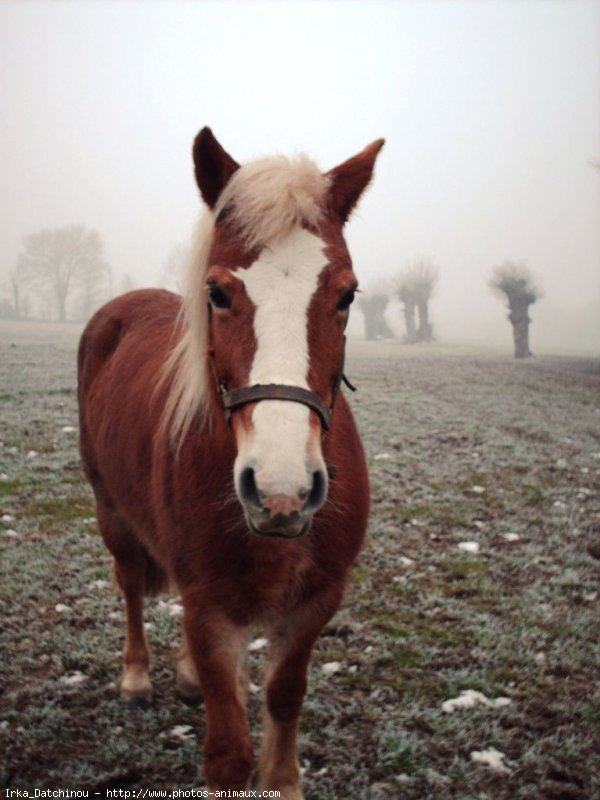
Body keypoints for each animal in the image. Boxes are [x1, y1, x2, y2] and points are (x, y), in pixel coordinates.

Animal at [77, 128, 384, 796]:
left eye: (347, 294)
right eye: (216, 293)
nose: (280, 489)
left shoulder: (316, 602)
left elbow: (285, 696)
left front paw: (285, 780)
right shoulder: (210, 609)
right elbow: (227, 753)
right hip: (111, 512)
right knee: (131, 585)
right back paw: (137, 677)